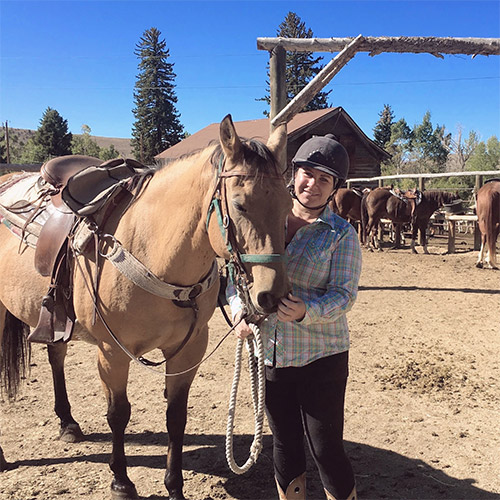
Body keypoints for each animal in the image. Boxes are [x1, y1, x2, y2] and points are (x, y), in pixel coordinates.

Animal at [0, 116, 292, 500]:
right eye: (241, 205)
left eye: (288, 205)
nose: (272, 296)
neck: (152, 249)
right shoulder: (112, 353)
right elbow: (118, 413)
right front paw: (121, 481)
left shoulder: (189, 349)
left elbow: (176, 415)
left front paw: (174, 486)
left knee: (56, 357)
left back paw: (67, 422)